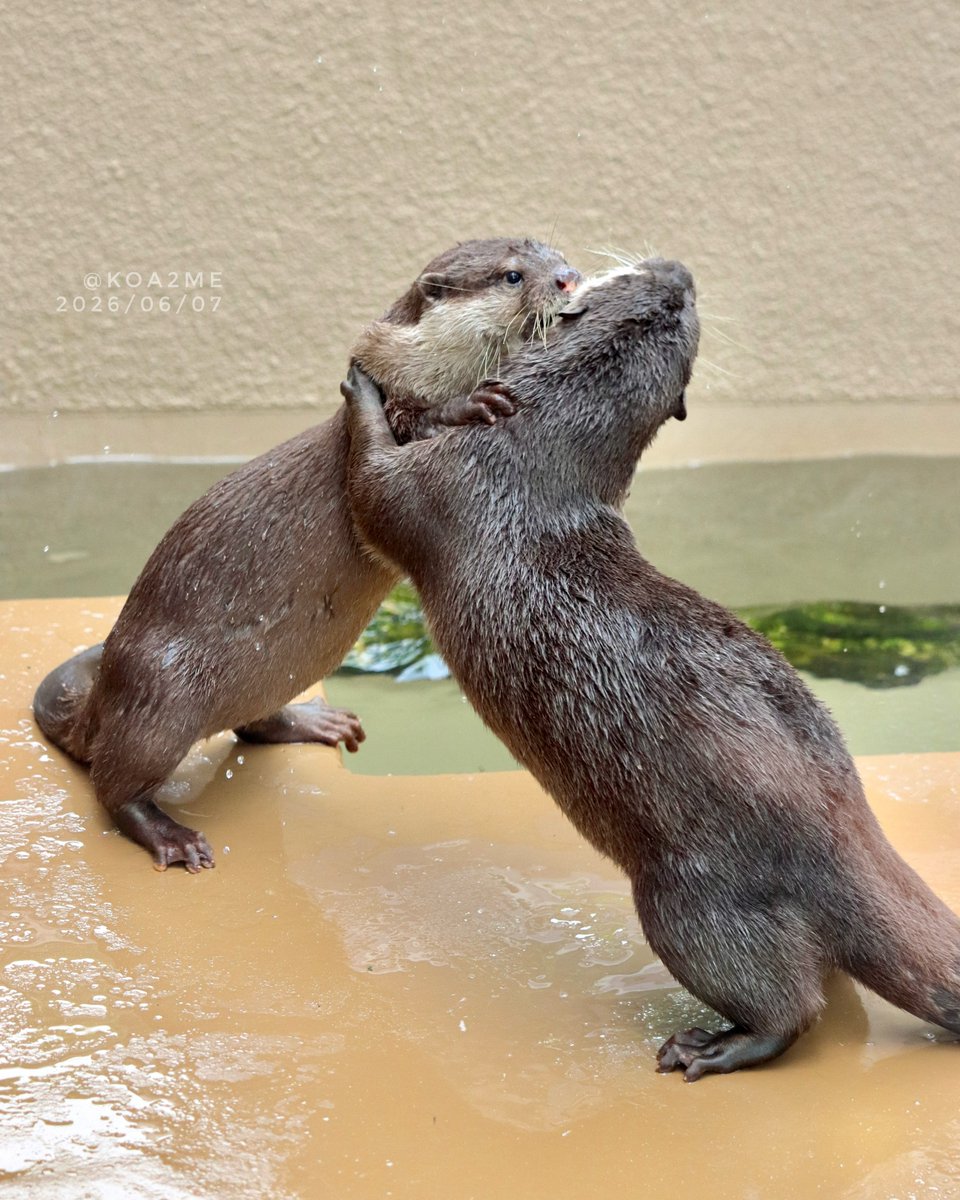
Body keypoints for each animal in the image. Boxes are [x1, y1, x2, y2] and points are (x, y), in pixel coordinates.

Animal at [34, 238, 580, 873]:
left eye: (554, 252)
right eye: (513, 276)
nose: (568, 279)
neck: (422, 366)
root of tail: (104, 694)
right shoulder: (387, 401)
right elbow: (409, 425)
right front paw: (471, 402)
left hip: (259, 674)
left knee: (250, 726)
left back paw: (318, 721)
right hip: (161, 696)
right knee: (112, 784)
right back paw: (171, 836)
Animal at [341, 258, 960, 1080]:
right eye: (660, 293)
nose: (682, 272)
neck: (531, 455)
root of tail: (842, 831)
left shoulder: (431, 486)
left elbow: (371, 481)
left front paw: (363, 389)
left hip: (683, 899)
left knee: (790, 1008)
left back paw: (710, 1047)